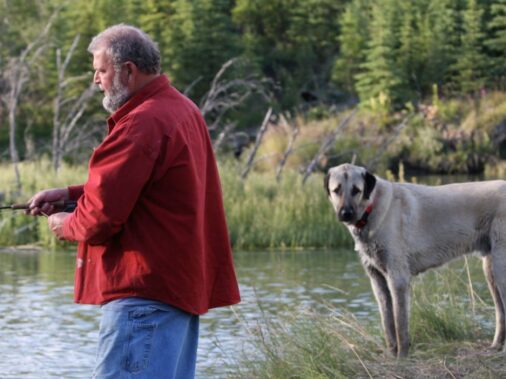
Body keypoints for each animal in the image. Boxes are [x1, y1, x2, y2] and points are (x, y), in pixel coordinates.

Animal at [324, 164, 506, 360]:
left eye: (356, 190)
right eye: (336, 190)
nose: (345, 213)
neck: (372, 208)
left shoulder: (398, 279)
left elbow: (400, 325)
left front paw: (402, 357)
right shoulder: (377, 280)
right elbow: (388, 324)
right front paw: (391, 354)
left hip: (500, 269)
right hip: (491, 271)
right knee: (501, 313)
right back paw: (495, 346)